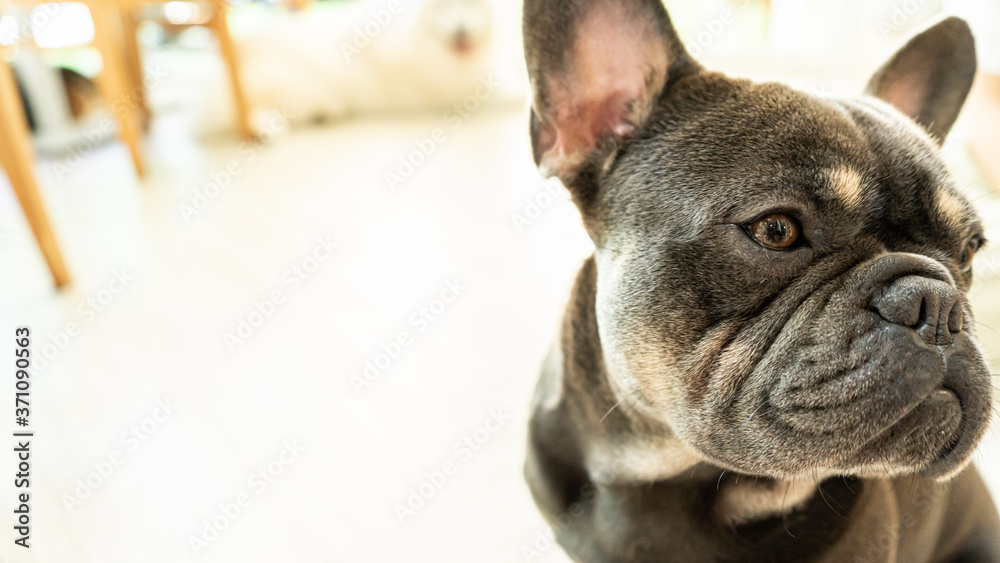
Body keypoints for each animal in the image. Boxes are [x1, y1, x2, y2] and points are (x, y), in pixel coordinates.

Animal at [154, 0, 498, 136]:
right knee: (243, 111)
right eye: (445, 8)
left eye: (472, 7)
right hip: (284, 84)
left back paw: (329, 112)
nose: (461, 31)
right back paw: (267, 126)